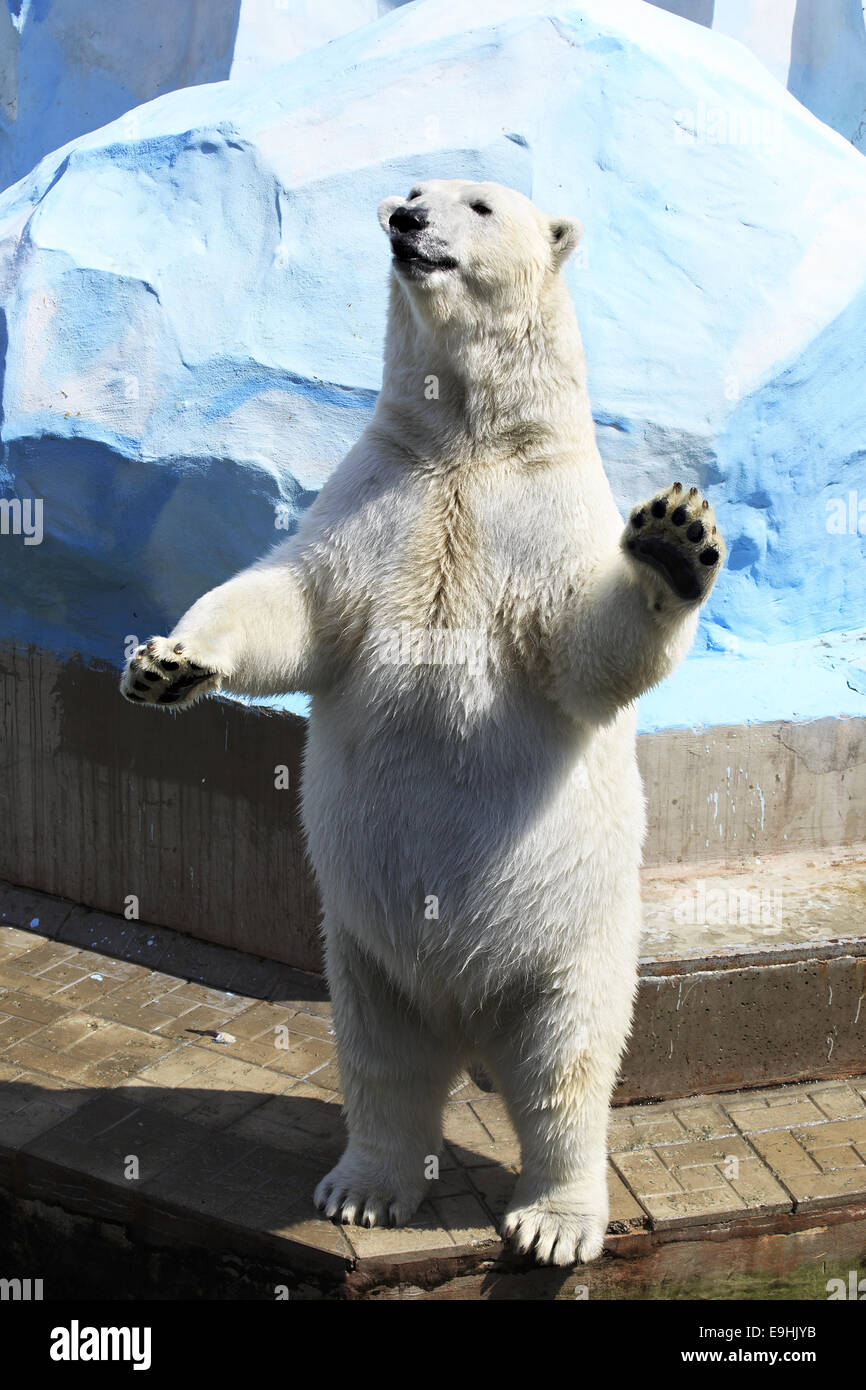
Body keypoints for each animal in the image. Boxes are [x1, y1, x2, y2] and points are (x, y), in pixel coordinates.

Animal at [121, 179, 723, 1265]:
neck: (471, 441)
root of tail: (468, 1023)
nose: (406, 222)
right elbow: (291, 604)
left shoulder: (542, 512)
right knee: (382, 1061)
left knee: (566, 1068)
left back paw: (554, 1220)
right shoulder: (382, 491)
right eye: (409, 191)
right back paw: (365, 1187)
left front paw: (669, 540)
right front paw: (167, 665)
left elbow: (584, 651)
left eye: (475, 203)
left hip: (569, 944)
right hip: (361, 950)